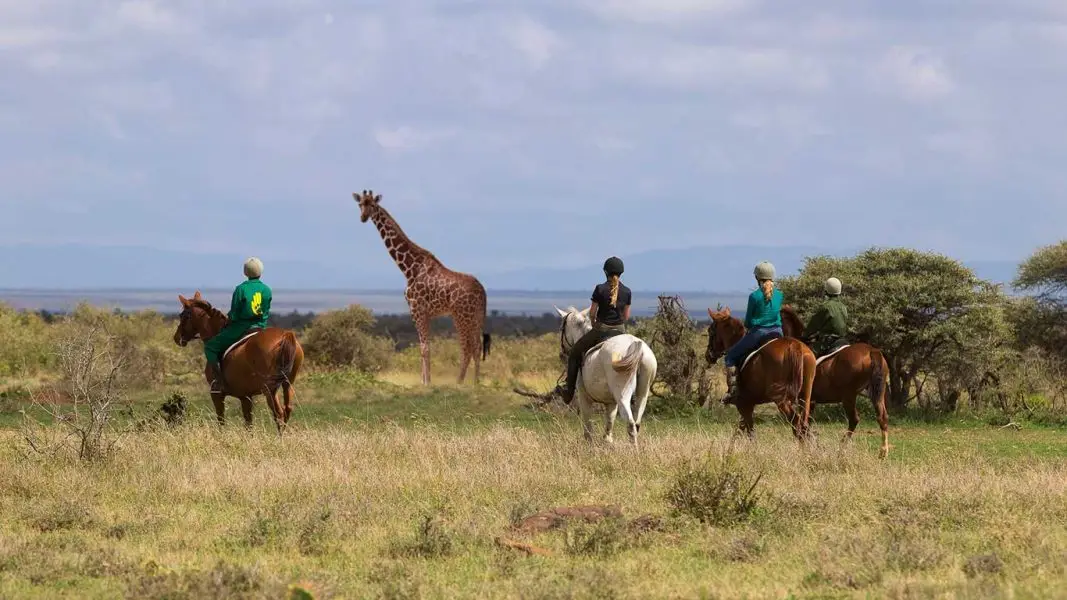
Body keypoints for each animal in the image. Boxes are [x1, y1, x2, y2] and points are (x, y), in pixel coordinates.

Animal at [173, 291, 303, 432]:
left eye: (183, 316)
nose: (176, 338)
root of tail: (285, 335)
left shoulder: (216, 394)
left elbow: (221, 420)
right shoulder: (245, 396)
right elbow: (248, 424)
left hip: (269, 390)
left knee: (279, 414)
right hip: (287, 384)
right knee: (287, 410)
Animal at [554, 306, 658, 448]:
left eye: (561, 328)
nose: (561, 353)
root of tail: (637, 347)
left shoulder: (584, 397)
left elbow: (588, 428)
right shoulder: (611, 402)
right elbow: (609, 425)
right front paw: (607, 443)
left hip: (622, 393)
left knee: (630, 422)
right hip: (643, 392)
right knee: (637, 422)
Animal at [705, 307, 816, 441]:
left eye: (710, 331)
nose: (708, 355)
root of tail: (794, 346)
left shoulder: (744, 405)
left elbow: (749, 432)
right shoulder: (748, 404)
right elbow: (741, 429)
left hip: (781, 399)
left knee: (797, 424)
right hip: (805, 397)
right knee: (804, 426)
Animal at [779, 306, 890, 459]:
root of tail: (872, 352)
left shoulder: (805, 400)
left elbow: (801, 425)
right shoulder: (811, 401)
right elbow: (806, 424)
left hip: (848, 396)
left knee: (854, 419)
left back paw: (841, 449)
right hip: (878, 393)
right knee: (882, 418)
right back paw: (883, 452)